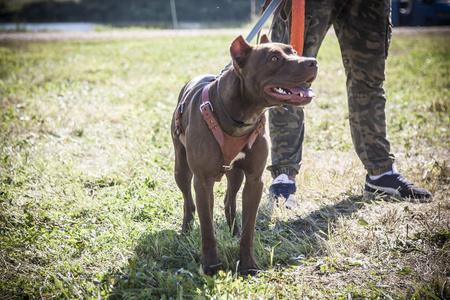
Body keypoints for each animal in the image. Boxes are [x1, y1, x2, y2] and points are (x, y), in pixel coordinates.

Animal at [171, 34, 316, 276]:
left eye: (294, 52)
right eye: (274, 58)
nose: (312, 61)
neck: (240, 114)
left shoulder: (254, 181)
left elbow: (249, 229)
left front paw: (248, 265)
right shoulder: (203, 182)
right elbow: (207, 230)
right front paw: (211, 267)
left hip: (236, 174)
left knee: (229, 200)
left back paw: (234, 230)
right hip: (181, 169)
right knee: (188, 201)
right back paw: (186, 230)